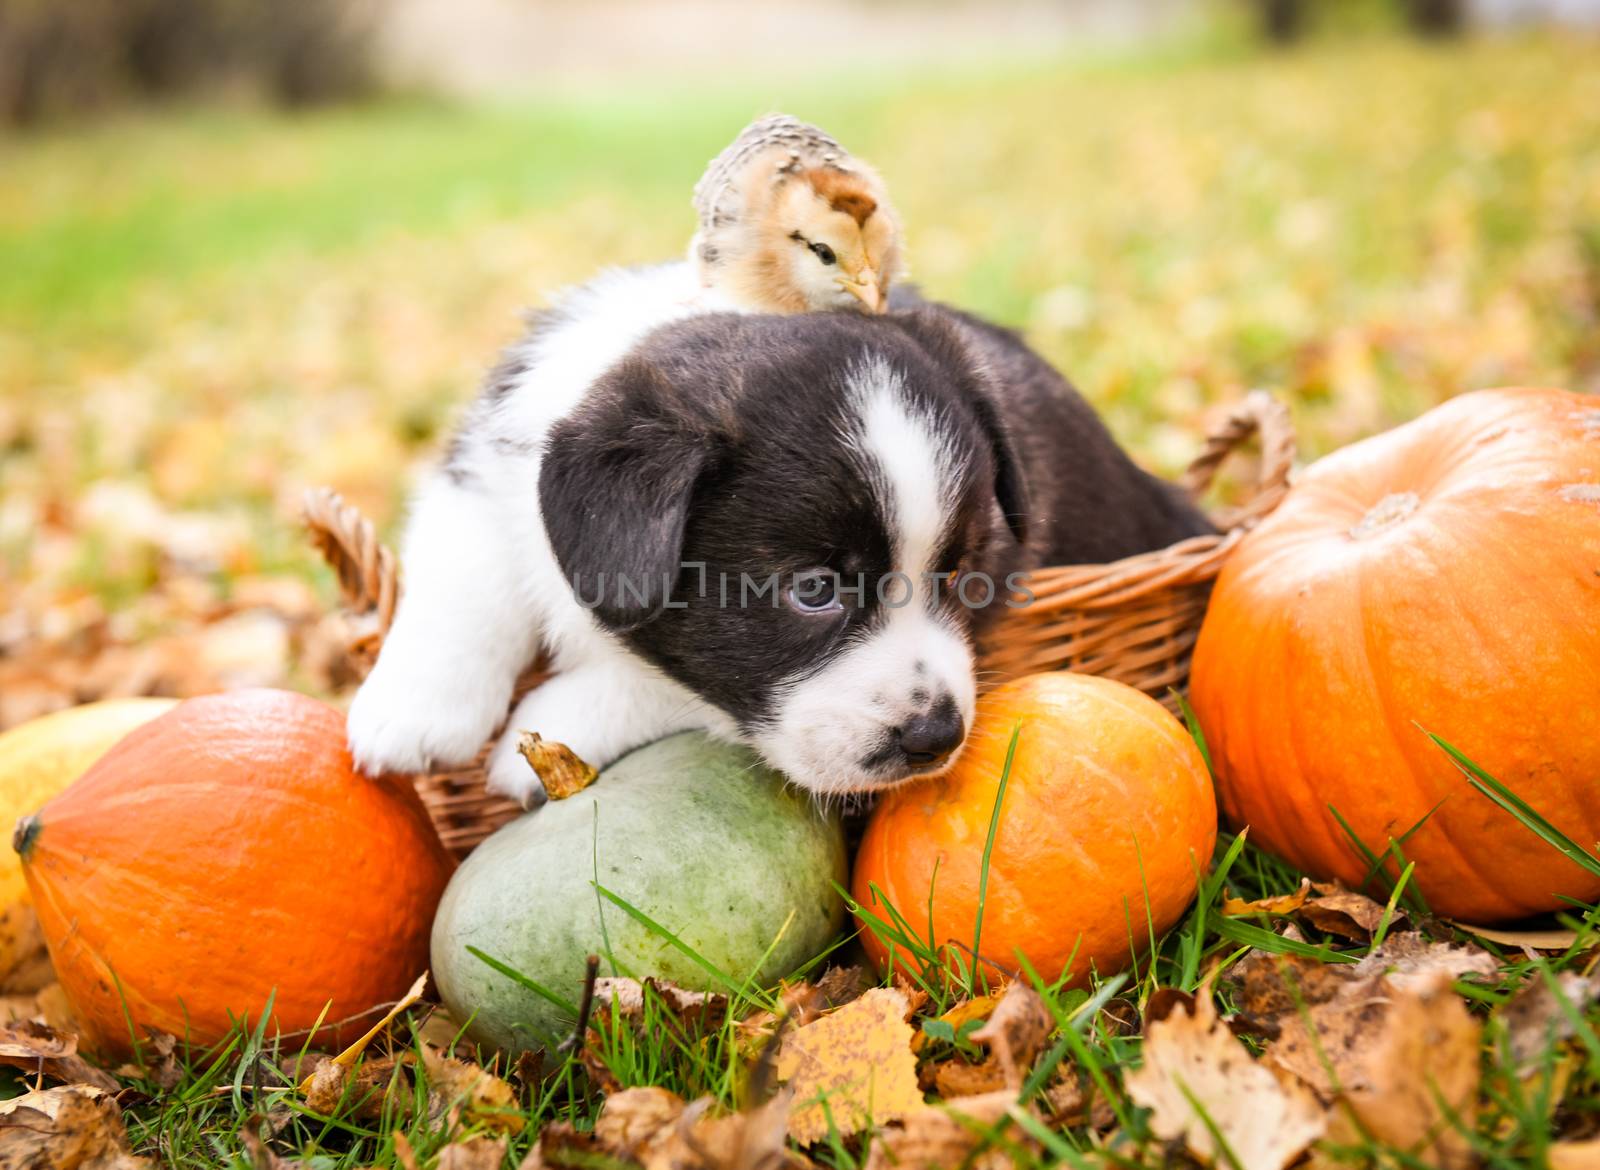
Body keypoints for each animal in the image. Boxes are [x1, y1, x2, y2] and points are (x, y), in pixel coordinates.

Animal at [344, 262, 1203, 806]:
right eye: (814, 591)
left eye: (962, 577)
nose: (935, 736)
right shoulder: (490, 470)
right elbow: (463, 569)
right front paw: (412, 713)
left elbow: (671, 678)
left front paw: (550, 730)